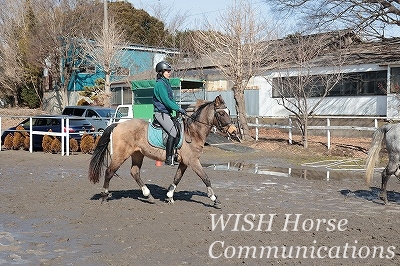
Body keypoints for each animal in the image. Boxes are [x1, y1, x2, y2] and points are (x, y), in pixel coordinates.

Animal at [87, 94, 236, 209]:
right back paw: (105, 196)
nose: (234, 131)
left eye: (228, 111)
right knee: (109, 172)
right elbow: (205, 178)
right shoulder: (193, 161)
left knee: (134, 172)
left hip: (137, 154)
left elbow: (177, 178)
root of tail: (118, 124)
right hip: (120, 155)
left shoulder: (184, 162)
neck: (193, 132)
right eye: (221, 113)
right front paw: (214, 198)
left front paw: (169, 196)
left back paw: (149, 196)